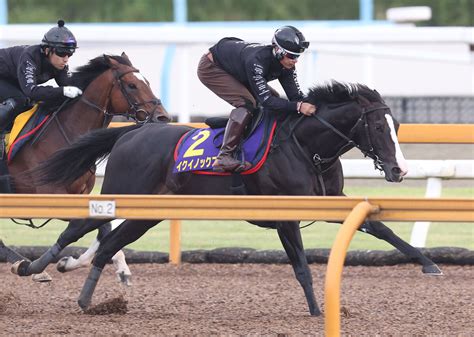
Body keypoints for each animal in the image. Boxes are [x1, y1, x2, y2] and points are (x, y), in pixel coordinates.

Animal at [1, 51, 170, 280]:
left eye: (148, 82)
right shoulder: (52, 194)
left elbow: (103, 227)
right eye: (131, 85)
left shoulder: (81, 194)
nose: (163, 117)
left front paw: (117, 266)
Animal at [17, 80, 440, 314]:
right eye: (378, 127)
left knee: (106, 244)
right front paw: (317, 309)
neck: (305, 146)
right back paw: (34, 266)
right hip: (124, 192)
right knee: (80, 226)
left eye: (397, 126)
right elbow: (302, 266)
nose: (400, 170)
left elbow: (380, 228)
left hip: (148, 212)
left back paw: (88, 300)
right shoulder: (285, 215)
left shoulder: (329, 201)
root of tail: (131, 132)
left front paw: (429, 263)